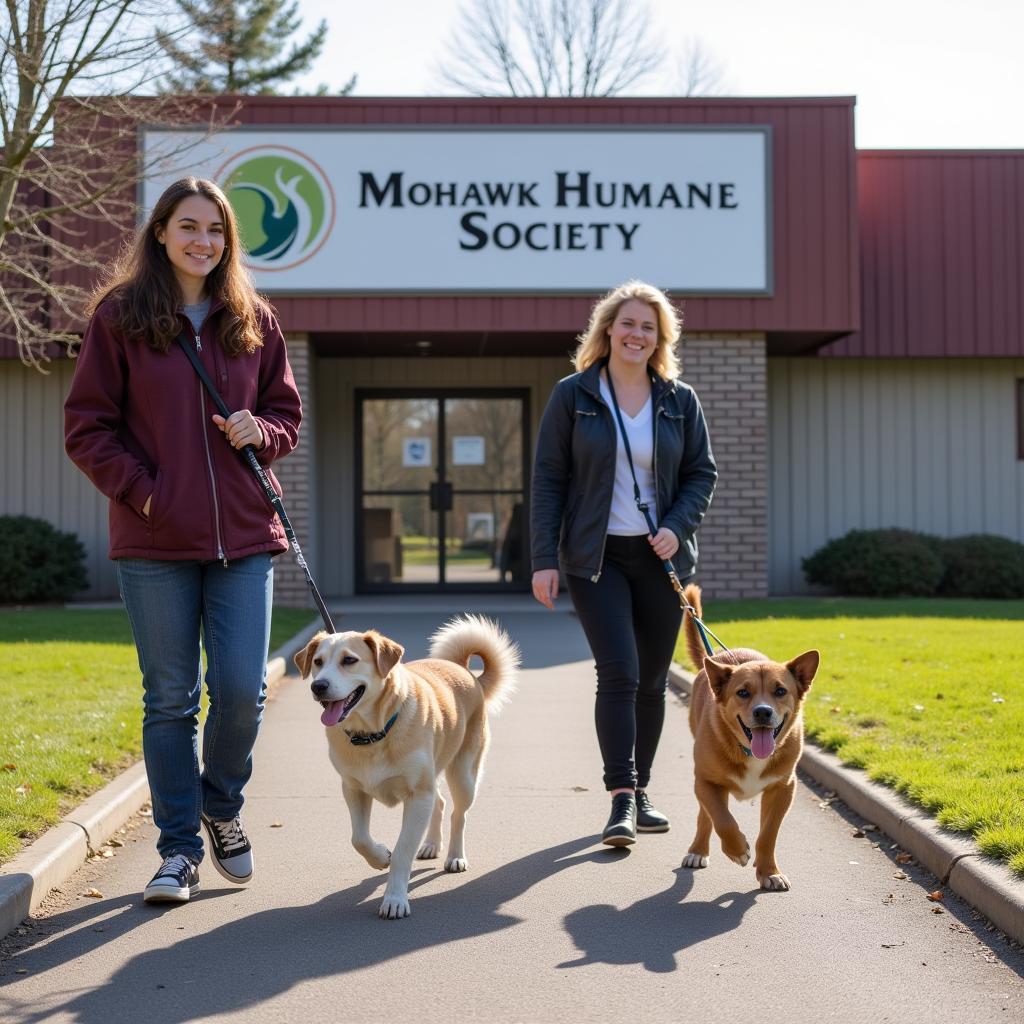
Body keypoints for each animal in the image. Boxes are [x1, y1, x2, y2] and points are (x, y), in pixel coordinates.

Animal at [296, 614, 520, 921]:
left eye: (349, 660)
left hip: (463, 775)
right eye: (317, 662)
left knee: (458, 814)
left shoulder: (417, 797)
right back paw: (430, 845)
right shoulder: (353, 789)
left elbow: (403, 851)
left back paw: (455, 856)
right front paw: (380, 857)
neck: (373, 733)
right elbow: (359, 838)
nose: (317, 686)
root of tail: (464, 670)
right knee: (439, 802)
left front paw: (394, 898)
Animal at [684, 585, 819, 888]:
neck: (747, 749)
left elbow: (768, 834)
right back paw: (698, 850)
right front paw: (737, 850)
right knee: (705, 816)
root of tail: (720, 658)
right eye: (743, 692)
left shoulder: (783, 788)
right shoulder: (706, 782)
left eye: (780, 691)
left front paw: (769, 871)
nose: (762, 712)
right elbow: (722, 819)